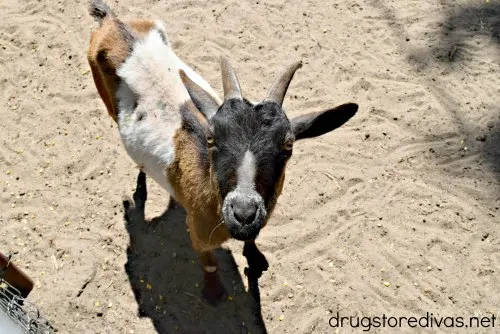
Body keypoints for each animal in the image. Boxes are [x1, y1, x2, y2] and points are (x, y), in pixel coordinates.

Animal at [88, 0, 358, 304]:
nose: (243, 213)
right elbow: (209, 262)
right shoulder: (198, 232)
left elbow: (252, 239)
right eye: (211, 138)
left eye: (288, 145)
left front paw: (256, 258)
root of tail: (111, 21)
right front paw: (214, 292)